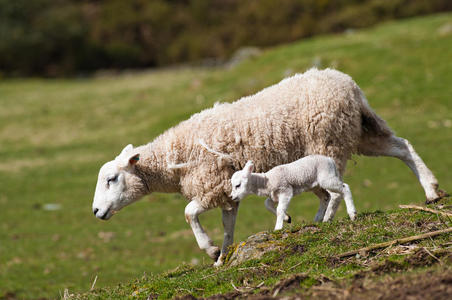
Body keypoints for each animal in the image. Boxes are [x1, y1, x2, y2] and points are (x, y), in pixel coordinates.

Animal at [92, 68, 444, 268]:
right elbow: (228, 226)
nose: (96, 212)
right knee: (402, 146)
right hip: (358, 132)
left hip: (327, 140)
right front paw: (222, 257)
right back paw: (431, 190)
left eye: (112, 179)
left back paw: (325, 219)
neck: (174, 158)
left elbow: (189, 213)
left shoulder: (211, 185)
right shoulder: (226, 193)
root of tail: (348, 84)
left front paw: (209, 250)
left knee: (334, 190)